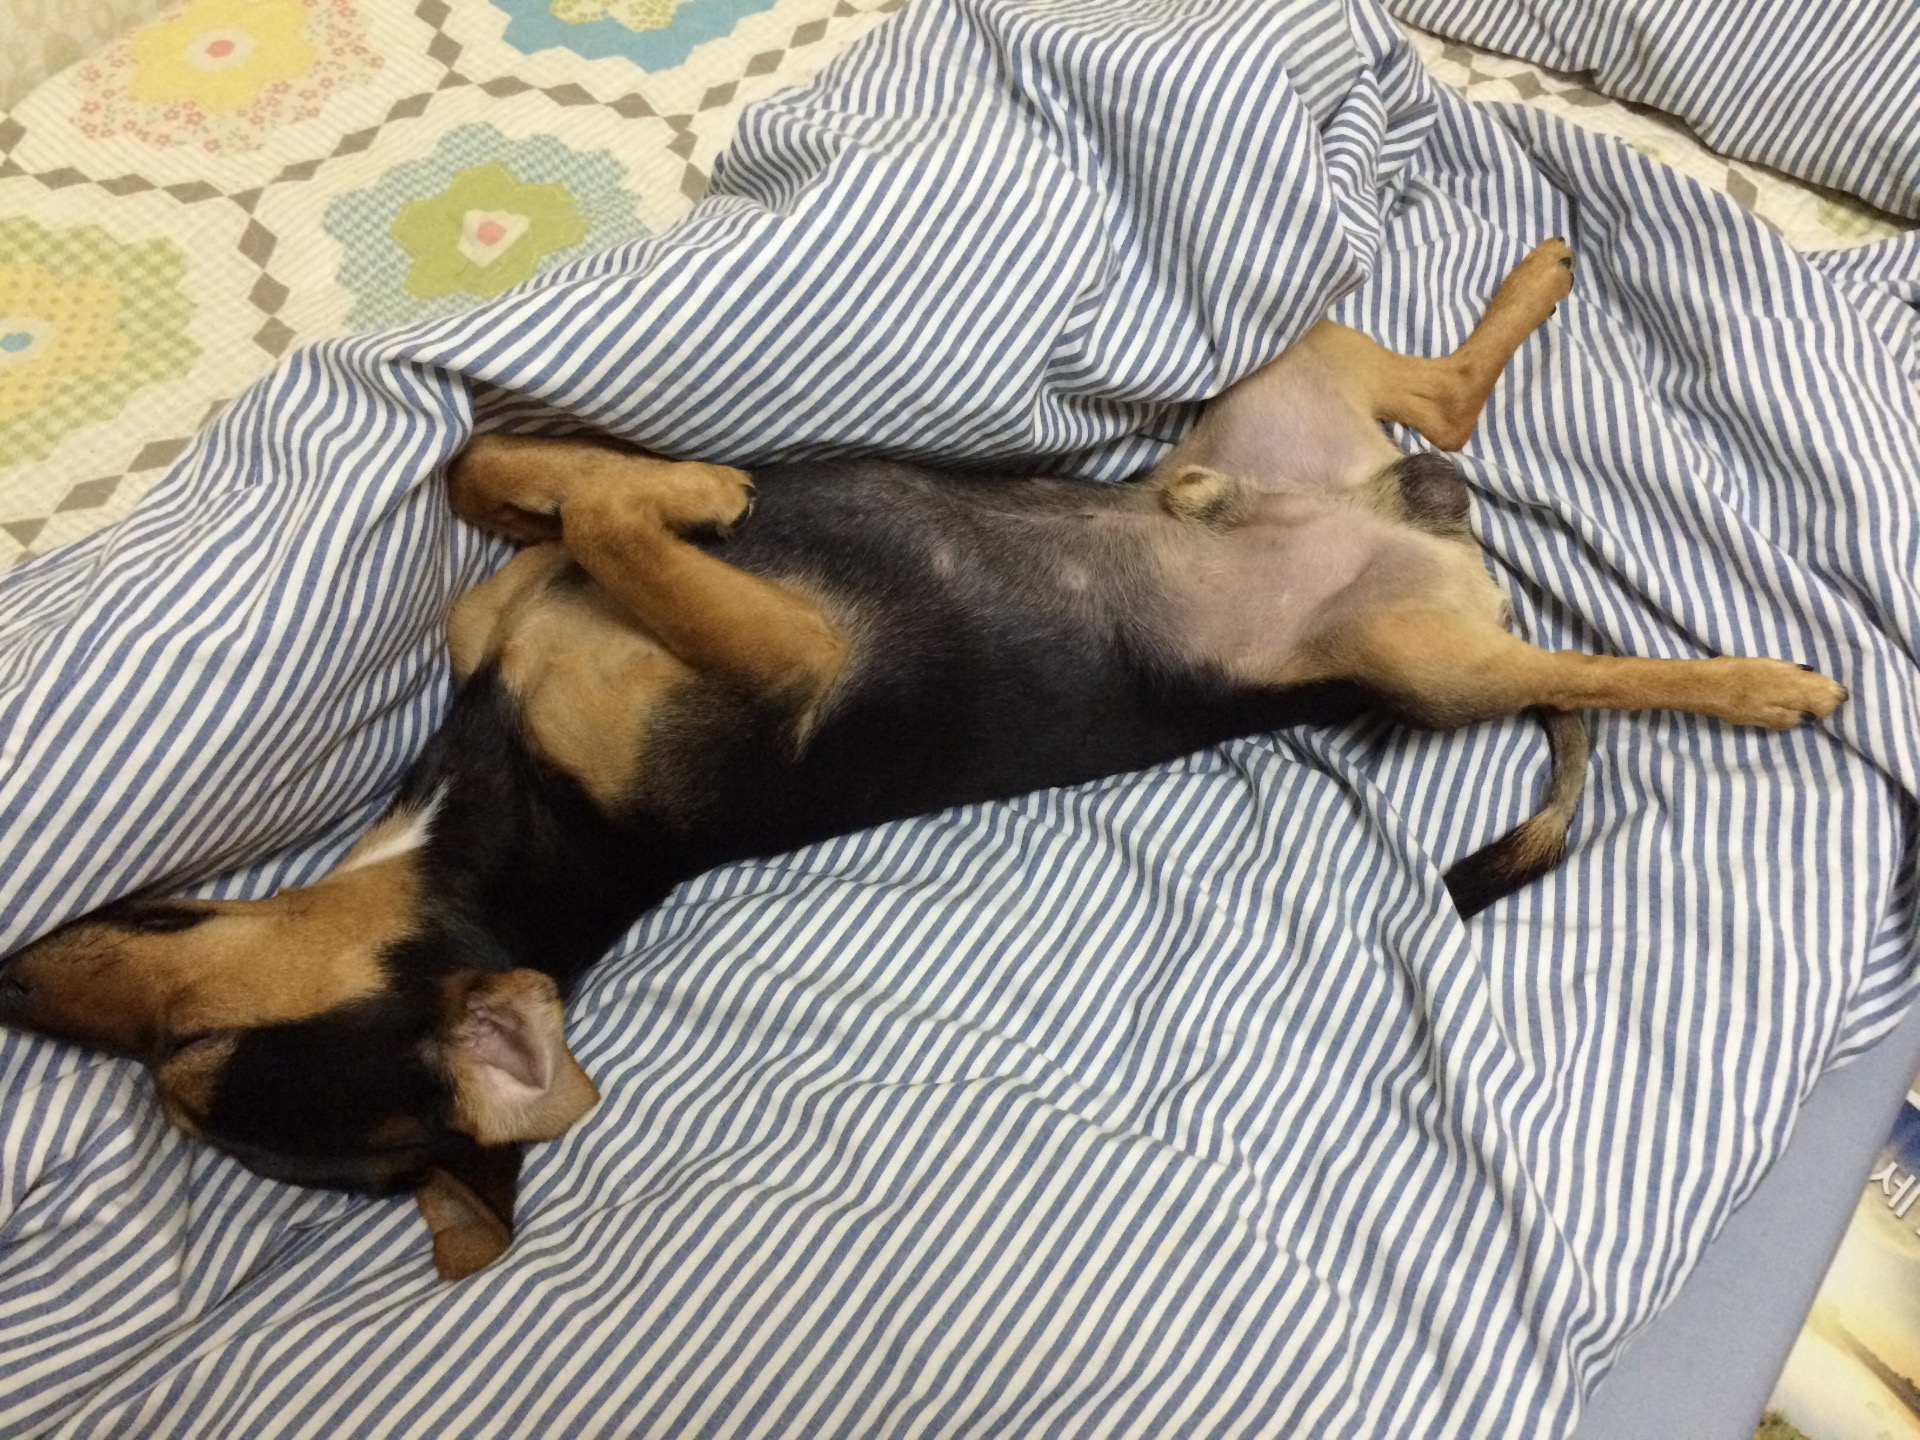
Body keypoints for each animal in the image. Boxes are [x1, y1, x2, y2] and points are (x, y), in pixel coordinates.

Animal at [0, 241, 1847, 1278]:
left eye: (192, 1040)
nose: (14, 980)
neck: (504, 813)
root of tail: (1429, 535)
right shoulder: (643, 650)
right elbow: (551, 517)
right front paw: (633, 484)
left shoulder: (707, 643)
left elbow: (544, 496)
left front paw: (670, 479)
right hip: (1388, 582)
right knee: (1489, 492)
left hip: (1357, 527)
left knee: (1522, 532)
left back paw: (1743, 637)